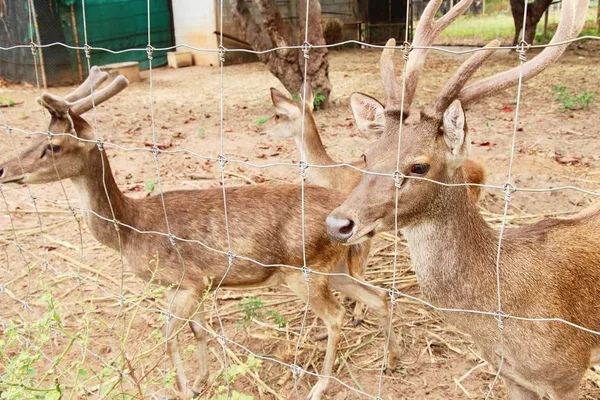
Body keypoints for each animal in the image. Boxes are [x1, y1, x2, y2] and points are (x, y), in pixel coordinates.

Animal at [1, 69, 404, 400]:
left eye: (53, 146)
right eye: (36, 136)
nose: (4, 168)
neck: (131, 229)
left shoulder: (186, 281)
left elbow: (168, 338)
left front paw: (181, 388)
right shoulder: (196, 284)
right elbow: (199, 332)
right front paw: (199, 382)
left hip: (302, 270)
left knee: (336, 316)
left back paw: (320, 386)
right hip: (332, 268)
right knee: (379, 295)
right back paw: (392, 360)